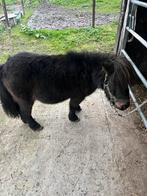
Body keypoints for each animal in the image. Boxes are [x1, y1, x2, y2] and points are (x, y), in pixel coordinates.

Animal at [0, 51, 130, 130]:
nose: (125, 105)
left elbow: (75, 105)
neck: (88, 73)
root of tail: (5, 65)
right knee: (26, 112)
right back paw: (35, 126)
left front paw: (78, 110)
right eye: (114, 82)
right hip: (25, 100)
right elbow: (72, 105)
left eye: (127, 82)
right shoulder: (77, 95)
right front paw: (73, 118)